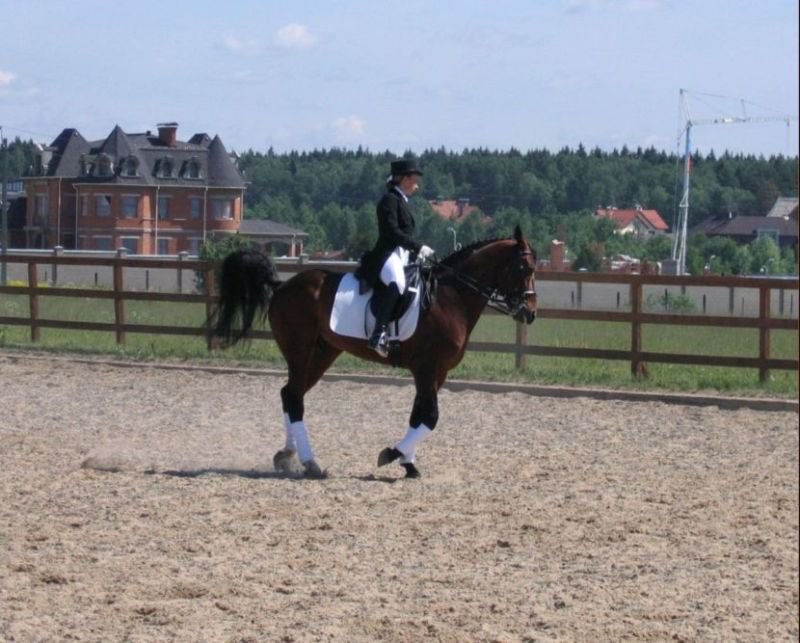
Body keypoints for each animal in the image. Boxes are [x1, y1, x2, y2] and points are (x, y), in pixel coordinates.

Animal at [211, 225, 536, 478]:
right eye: (524, 268)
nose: (530, 314)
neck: (450, 297)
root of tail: (282, 285)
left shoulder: (437, 372)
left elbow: (418, 415)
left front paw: (408, 464)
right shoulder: (427, 368)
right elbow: (430, 417)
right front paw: (392, 454)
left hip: (322, 353)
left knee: (291, 394)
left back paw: (287, 457)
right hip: (299, 350)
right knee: (293, 397)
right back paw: (310, 463)